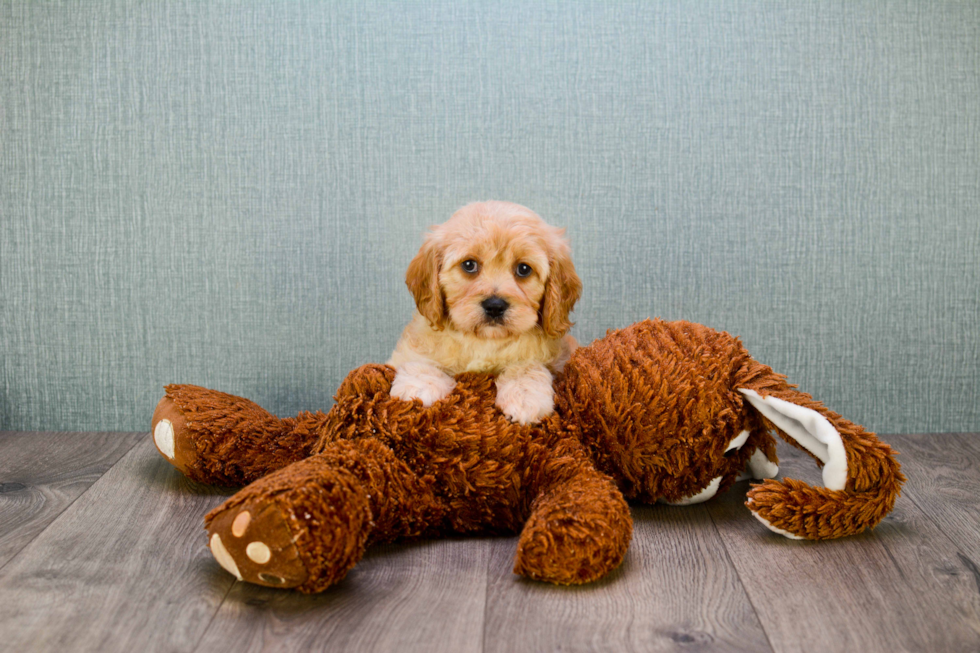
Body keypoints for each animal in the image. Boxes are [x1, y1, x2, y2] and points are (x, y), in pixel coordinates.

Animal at [386, 201, 580, 422]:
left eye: (524, 269)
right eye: (469, 265)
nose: (495, 306)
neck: (484, 341)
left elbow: (527, 365)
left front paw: (524, 397)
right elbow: (420, 358)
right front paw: (418, 387)